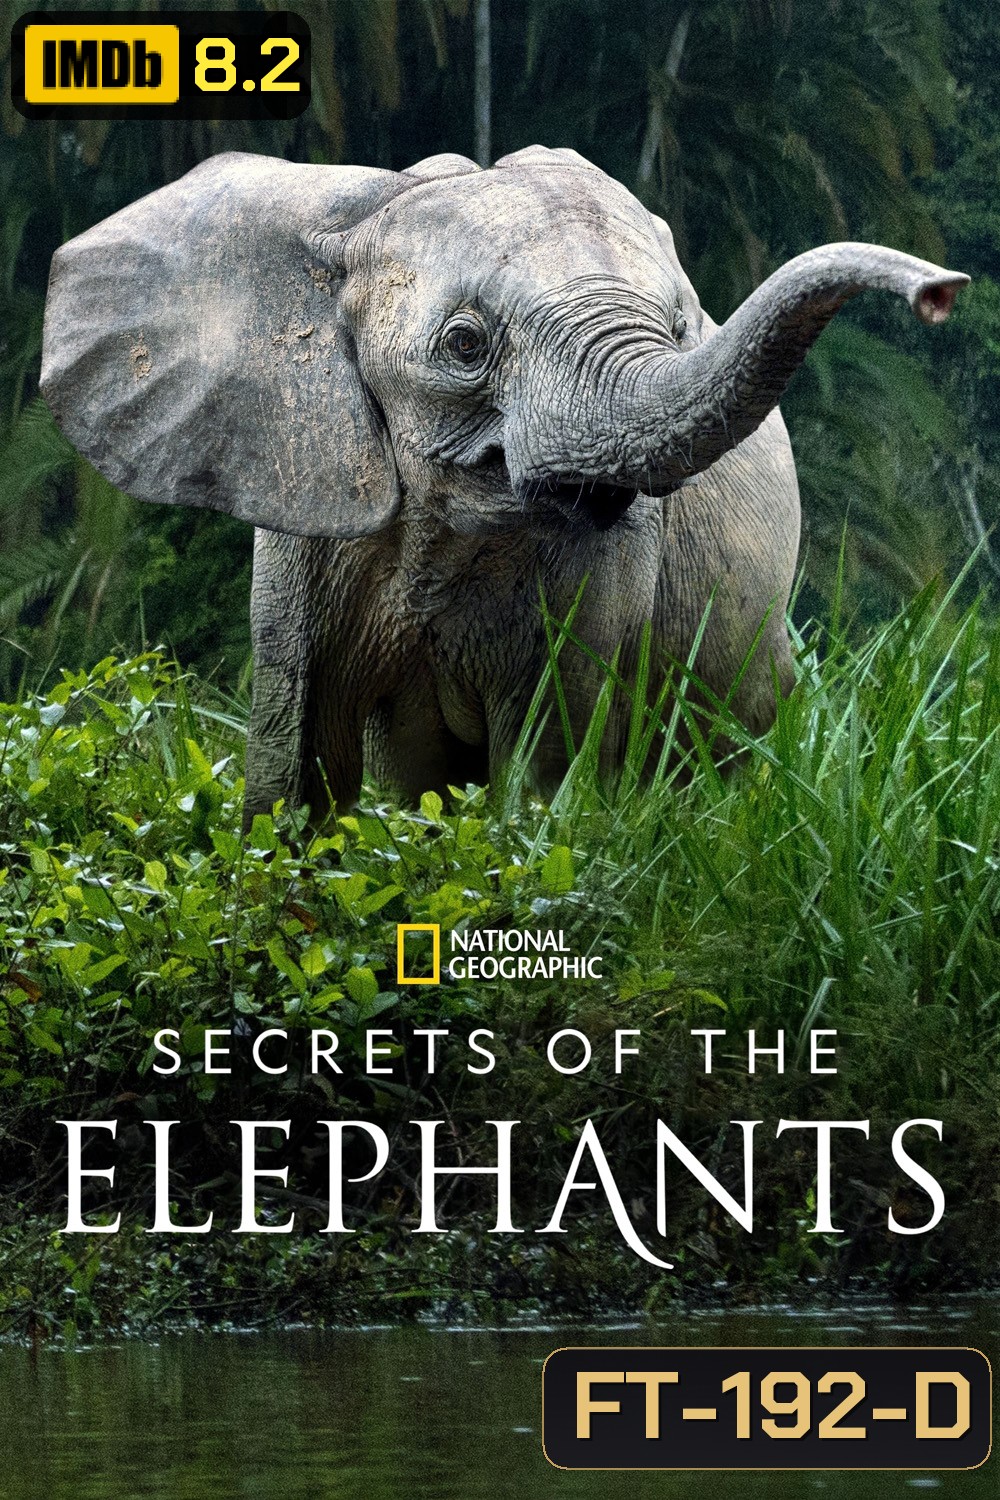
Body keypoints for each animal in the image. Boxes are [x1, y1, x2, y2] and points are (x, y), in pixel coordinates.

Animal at [40, 146, 967, 823]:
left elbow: (546, 756)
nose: (941, 292)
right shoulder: (306, 502)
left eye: (680, 330)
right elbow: (298, 758)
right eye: (464, 344)